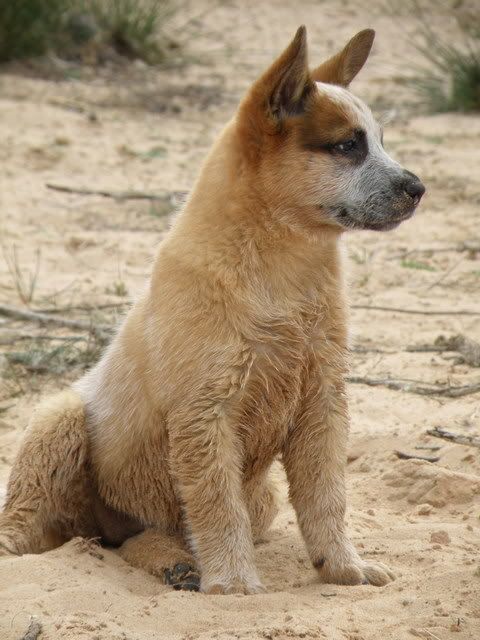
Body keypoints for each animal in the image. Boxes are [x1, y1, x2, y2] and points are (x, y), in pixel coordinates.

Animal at [0, 26, 424, 594]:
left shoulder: (323, 402)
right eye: (347, 146)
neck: (281, 275)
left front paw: (344, 568)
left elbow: (327, 498)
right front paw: (234, 585)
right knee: (34, 528)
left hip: (256, 498)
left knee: (130, 538)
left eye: (378, 139)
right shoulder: (206, 413)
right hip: (58, 418)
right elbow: (216, 505)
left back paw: (172, 561)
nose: (418, 189)